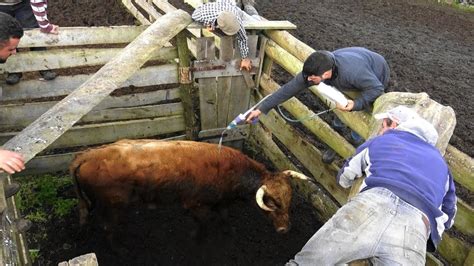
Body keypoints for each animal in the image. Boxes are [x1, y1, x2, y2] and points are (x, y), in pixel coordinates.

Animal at [69, 139, 308, 239]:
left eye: (289, 201)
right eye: (271, 203)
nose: (284, 229)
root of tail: (86, 155)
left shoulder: (220, 202)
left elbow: (224, 216)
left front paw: (228, 230)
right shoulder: (195, 204)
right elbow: (203, 223)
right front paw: (198, 237)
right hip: (114, 206)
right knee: (108, 228)